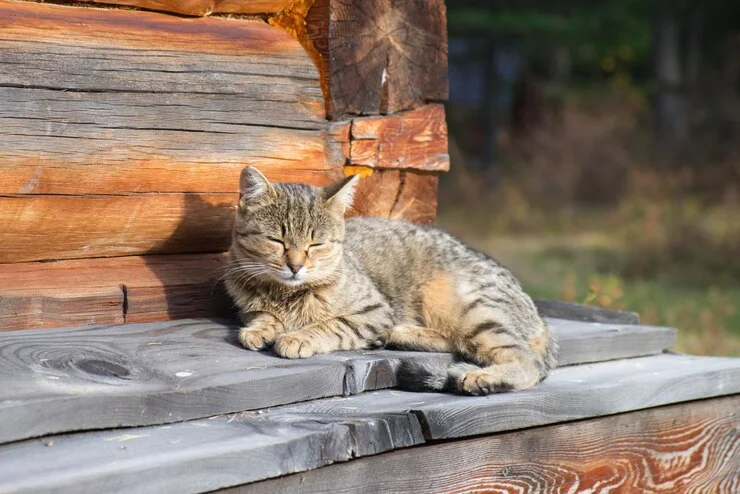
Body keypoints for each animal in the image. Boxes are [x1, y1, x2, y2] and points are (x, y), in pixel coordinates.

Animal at [225, 168, 556, 396]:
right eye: (276, 241)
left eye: (315, 244)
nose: (295, 265)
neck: (284, 292)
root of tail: (539, 316)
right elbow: (261, 315)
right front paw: (262, 328)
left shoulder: (373, 311)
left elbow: (332, 325)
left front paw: (298, 337)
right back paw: (397, 335)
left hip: (464, 305)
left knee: (526, 361)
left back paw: (482, 377)